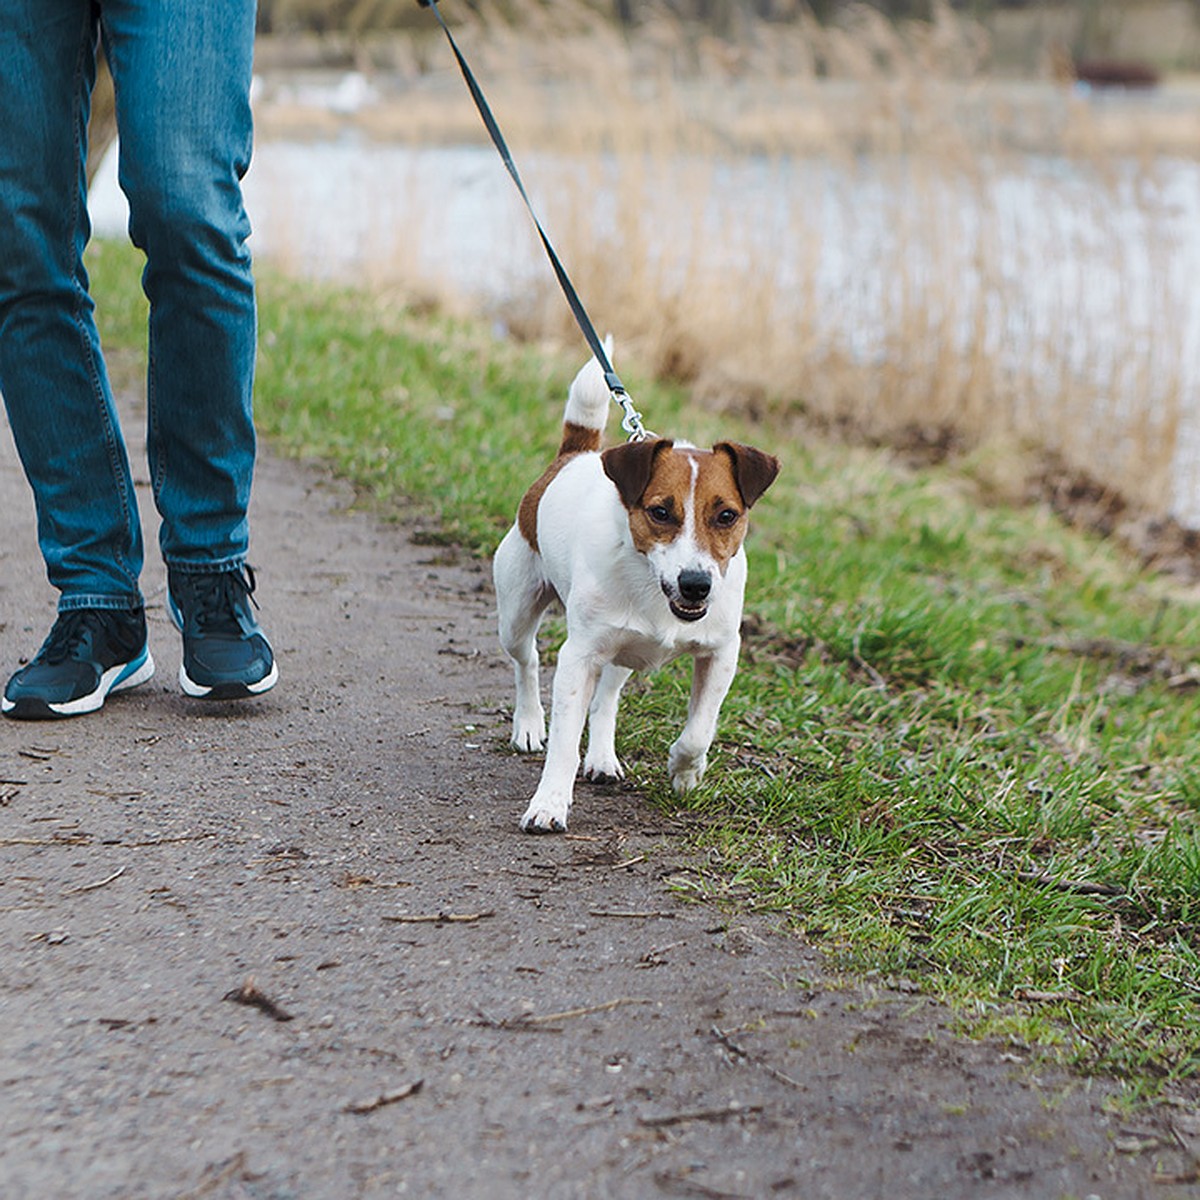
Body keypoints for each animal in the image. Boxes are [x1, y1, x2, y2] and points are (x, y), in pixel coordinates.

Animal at [494, 350, 782, 835]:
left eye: (726, 515)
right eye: (660, 512)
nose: (696, 583)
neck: (652, 585)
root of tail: (576, 454)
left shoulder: (722, 654)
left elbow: (699, 730)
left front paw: (685, 770)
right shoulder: (579, 656)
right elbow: (564, 743)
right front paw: (549, 804)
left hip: (624, 650)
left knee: (608, 696)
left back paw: (602, 756)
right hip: (516, 612)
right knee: (527, 660)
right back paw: (529, 724)